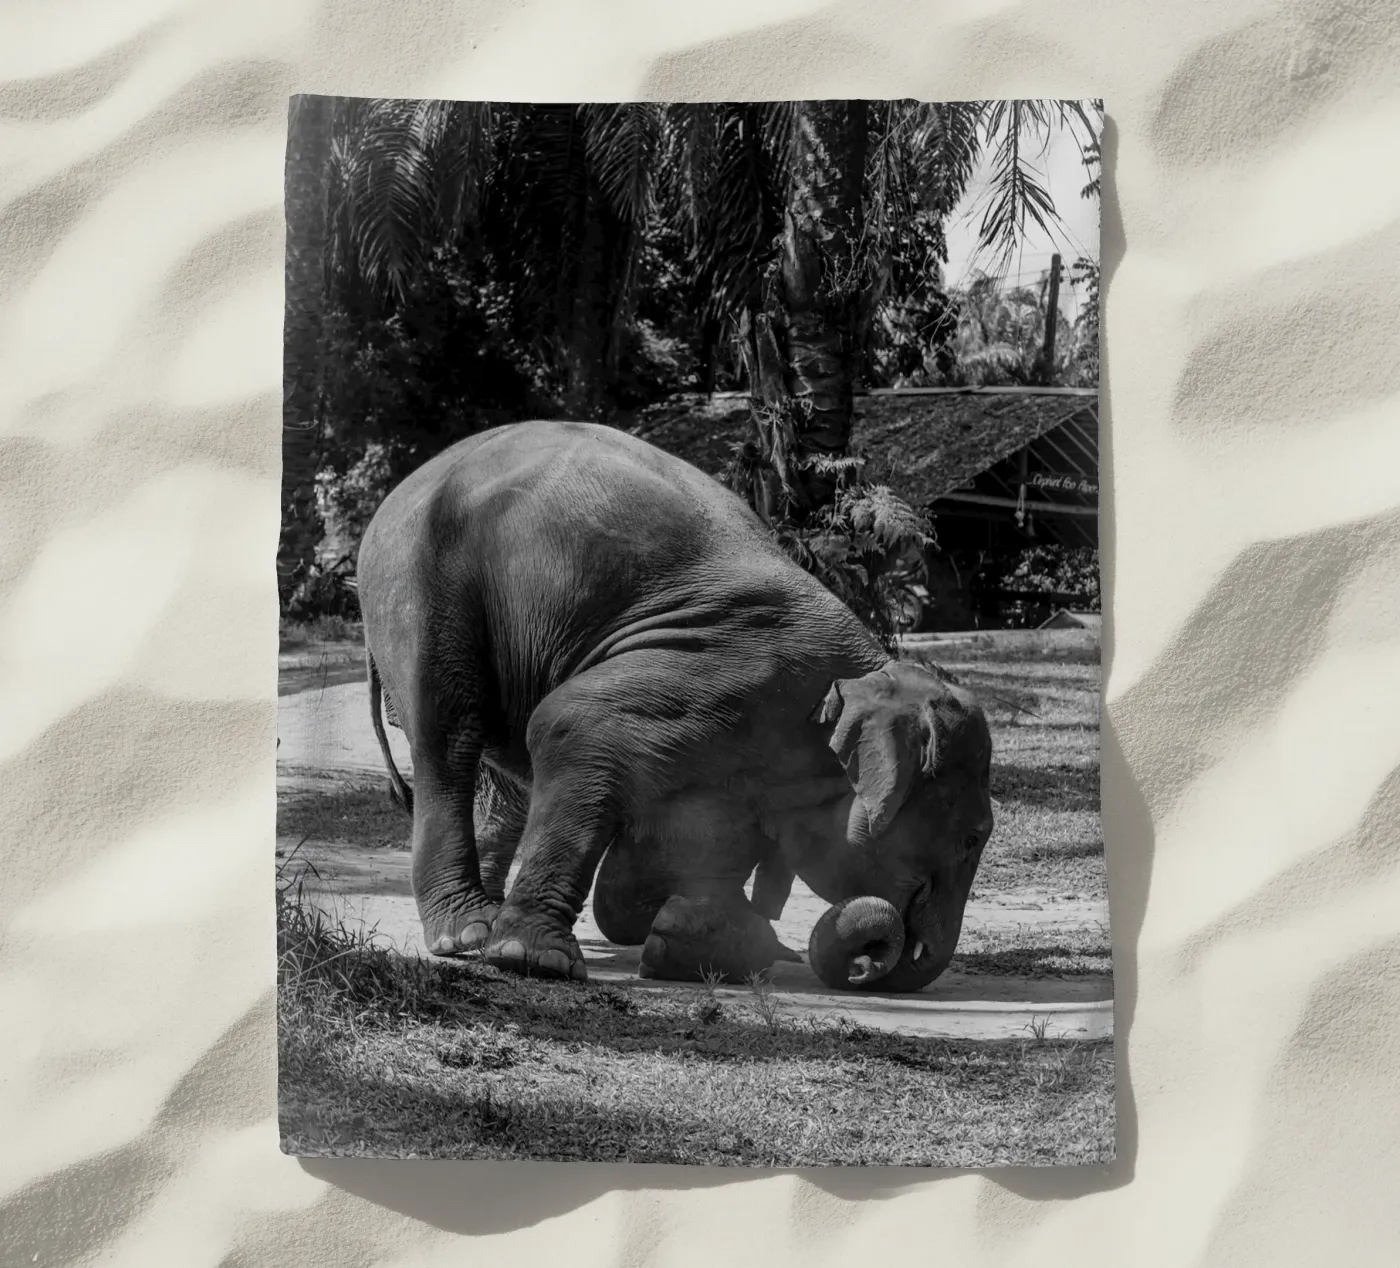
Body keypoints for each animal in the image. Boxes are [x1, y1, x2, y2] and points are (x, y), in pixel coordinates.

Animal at [358, 420, 994, 992]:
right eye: (972, 838)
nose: (873, 962)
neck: (866, 671)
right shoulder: (725, 673)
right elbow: (568, 725)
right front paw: (537, 961)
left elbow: (665, 854)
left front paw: (687, 934)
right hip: (420, 590)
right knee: (449, 737)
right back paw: (466, 934)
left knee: (505, 785)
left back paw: (484, 923)